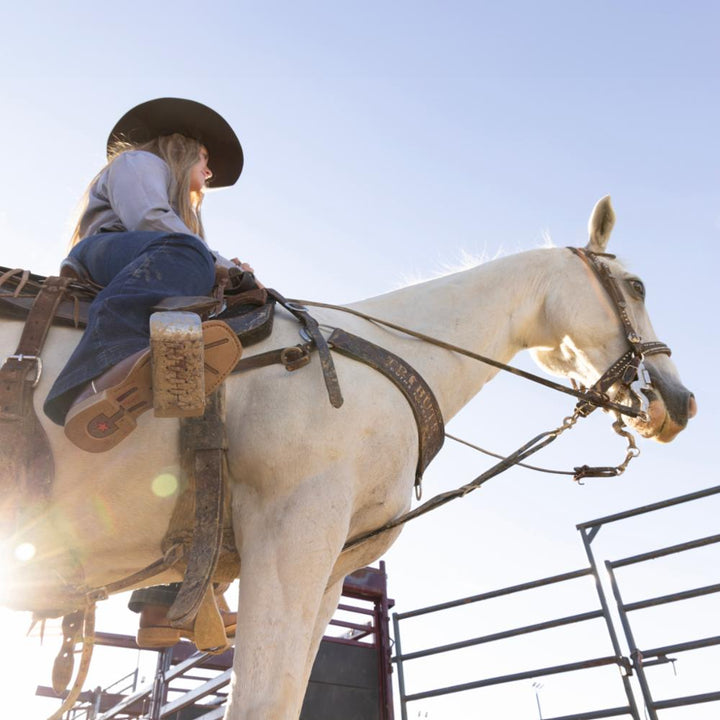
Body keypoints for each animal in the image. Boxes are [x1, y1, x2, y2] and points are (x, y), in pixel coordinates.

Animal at [1, 197, 696, 720]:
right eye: (635, 285)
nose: (679, 401)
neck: (374, 360)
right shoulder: (291, 536)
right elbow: (261, 702)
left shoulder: (331, 570)